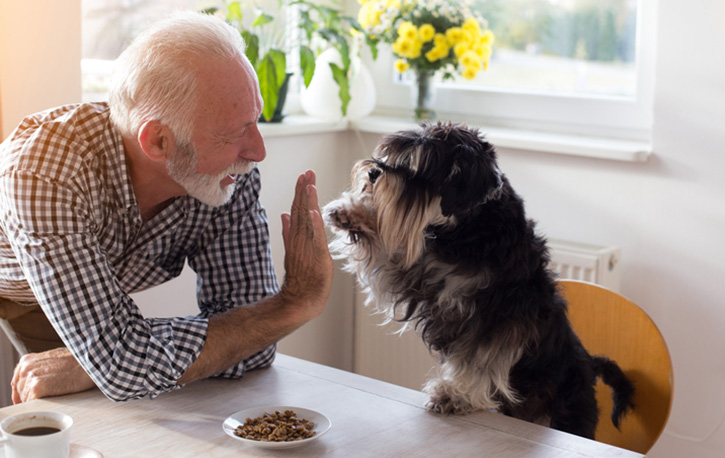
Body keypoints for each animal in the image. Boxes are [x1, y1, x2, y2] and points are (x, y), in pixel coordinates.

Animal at [322, 122, 632, 440]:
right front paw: (351, 212)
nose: (373, 172)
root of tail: (590, 364)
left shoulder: (497, 317)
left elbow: (479, 360)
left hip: (566, 414)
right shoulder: (419, 275)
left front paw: (454, 395)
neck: (470, 228)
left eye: (421, 168)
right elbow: (388, 251)